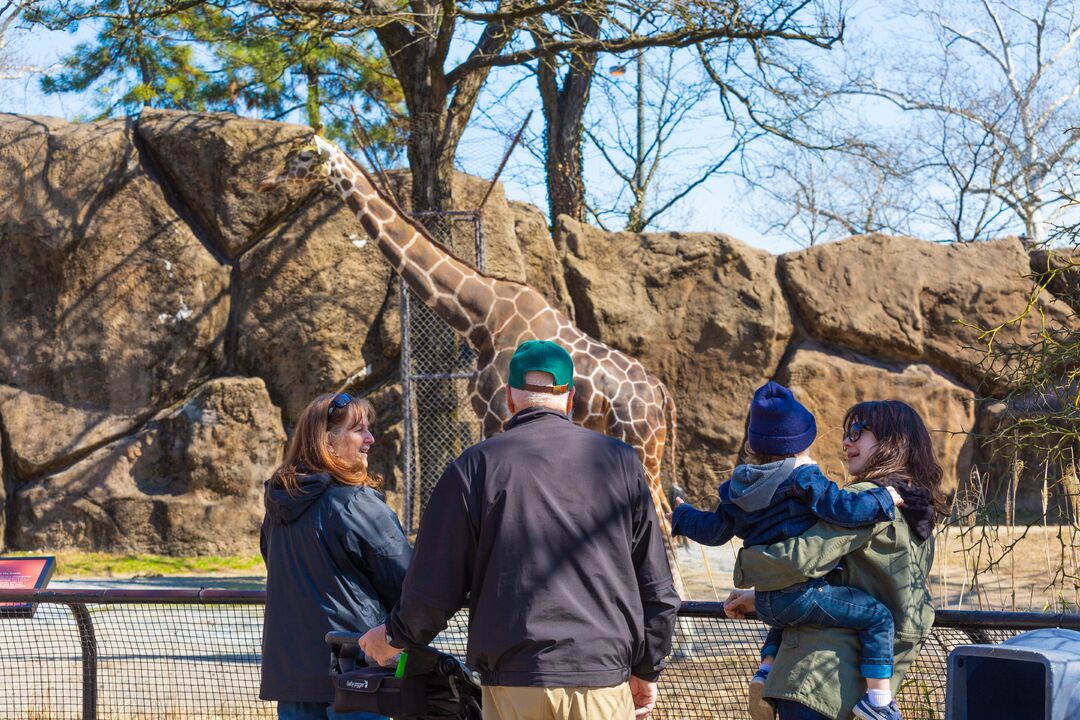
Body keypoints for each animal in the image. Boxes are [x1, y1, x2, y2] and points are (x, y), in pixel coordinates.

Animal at [254, 136, 682, 595]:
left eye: (301, 156)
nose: (264, 182)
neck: (480, 316)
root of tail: (661, 392)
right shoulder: (486, 413)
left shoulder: (495, 413)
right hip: (643, 448)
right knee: (665, 517)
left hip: (642, 445)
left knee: (663, 521)